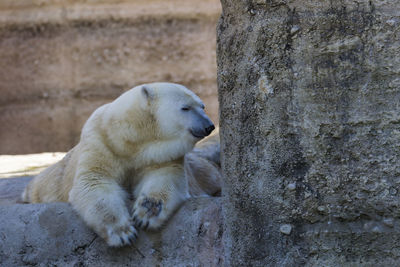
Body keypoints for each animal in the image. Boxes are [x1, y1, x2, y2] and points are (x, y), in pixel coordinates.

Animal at [21, 82, 216, 248]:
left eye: (202, 106)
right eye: (185, 108)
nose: (209, 126)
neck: (130, 140)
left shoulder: (161, 155)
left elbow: (164, 177)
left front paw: (146, 213)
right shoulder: (100, 142)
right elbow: (94, 182)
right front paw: (123, 233)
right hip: (51, 180)